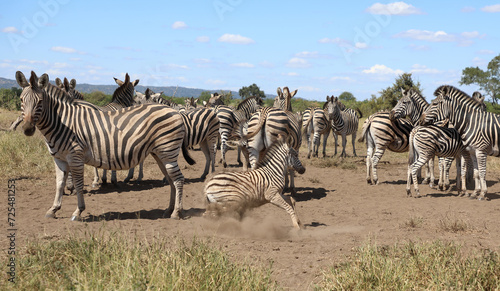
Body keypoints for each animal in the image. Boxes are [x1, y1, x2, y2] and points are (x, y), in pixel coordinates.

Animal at [17, 70, 193, 221]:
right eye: (21, 100)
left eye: (40, 101)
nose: (27, 129)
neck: (62, 123)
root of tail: (174, 110)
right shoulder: (59, 159)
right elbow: (59, 184)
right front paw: (53, 209)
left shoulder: (75, 157)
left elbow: (79, 184)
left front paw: (78, 211)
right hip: (159, 154)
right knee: (171, 179)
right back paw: (168, 210)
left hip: (168, 151)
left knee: (178, 179)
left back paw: (176, 213)